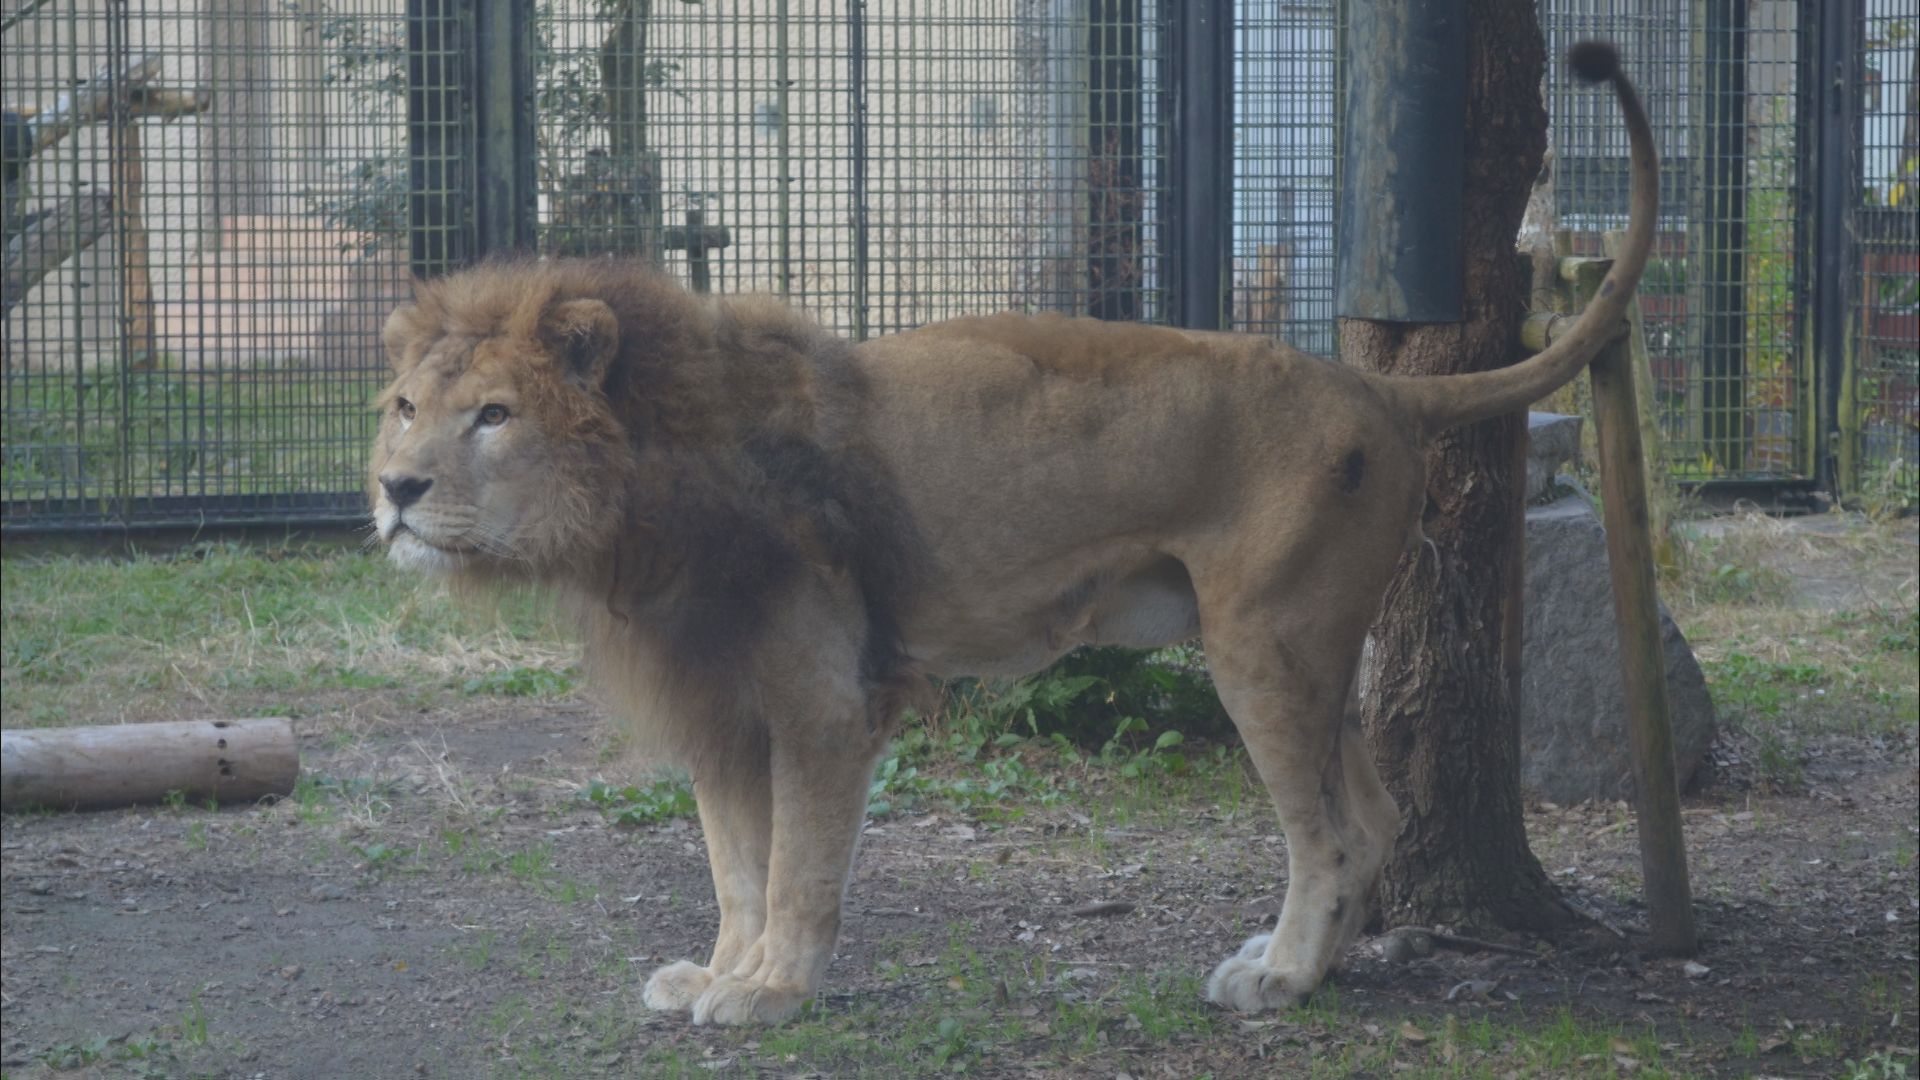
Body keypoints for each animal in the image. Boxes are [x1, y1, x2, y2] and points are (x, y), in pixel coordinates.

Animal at [366, 46, 1658, 1022]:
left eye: (495, 415)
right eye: (406, 406)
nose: (393, 490)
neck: (636, 495)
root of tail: (1376, 387)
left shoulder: (825, 699)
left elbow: (795, 866)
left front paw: (774, 990)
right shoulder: (720, 705)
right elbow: (734, 864)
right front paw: (720, 973)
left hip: (1264, 644)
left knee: (1332, 832)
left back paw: (1280, 980)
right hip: (1308, 648)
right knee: (1377, 818)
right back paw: (1305, 968)